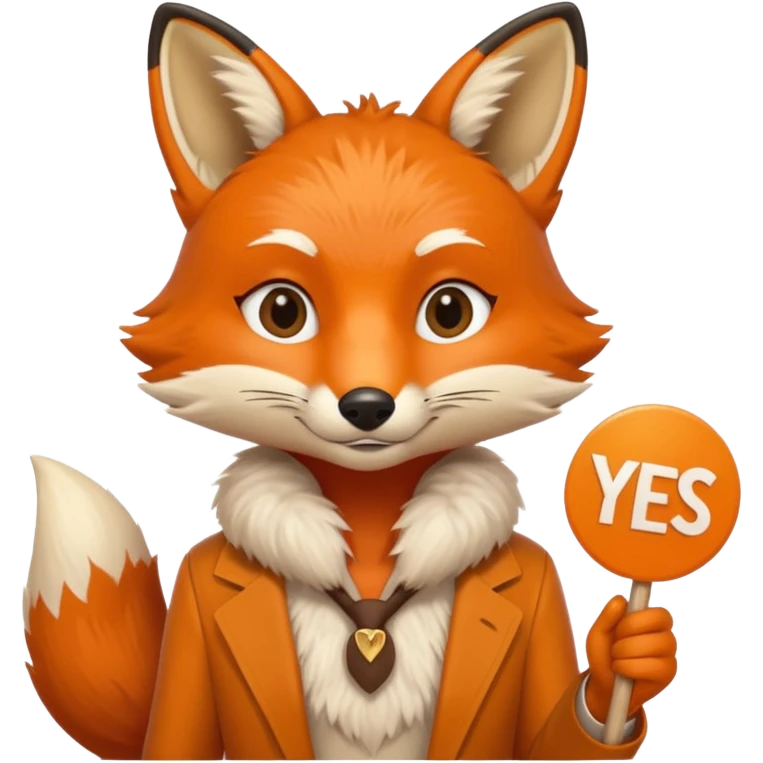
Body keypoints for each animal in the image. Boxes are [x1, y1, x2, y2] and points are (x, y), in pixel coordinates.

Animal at [22, 2, 679, 760]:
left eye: (449, 312)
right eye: (282, 311)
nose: (367, 404)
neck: (366, 536)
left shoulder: (538, 583)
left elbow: (557, 733)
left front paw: (625, 657)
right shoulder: (192, 606)